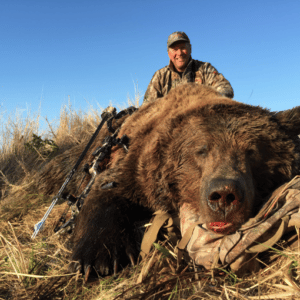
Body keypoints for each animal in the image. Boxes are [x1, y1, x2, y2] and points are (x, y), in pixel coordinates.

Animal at [38, 82, 300, 276]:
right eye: (201, 151)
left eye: (253, 151)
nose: (224, 195)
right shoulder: (139, 165)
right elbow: (106, 189)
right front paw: (96, 258)